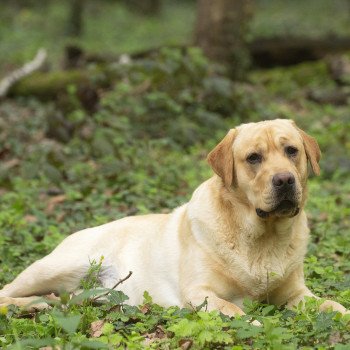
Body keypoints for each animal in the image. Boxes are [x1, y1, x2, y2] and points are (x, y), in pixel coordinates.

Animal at [0, 118, 348, 318]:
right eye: (253, 158)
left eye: (291, 151)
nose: (285, 180)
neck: (262, 237)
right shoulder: (200, 293)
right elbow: (236, 311)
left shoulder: (296, 294)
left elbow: (332, 305)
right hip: (55, 267)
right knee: (6, 291)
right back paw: (32, 305)